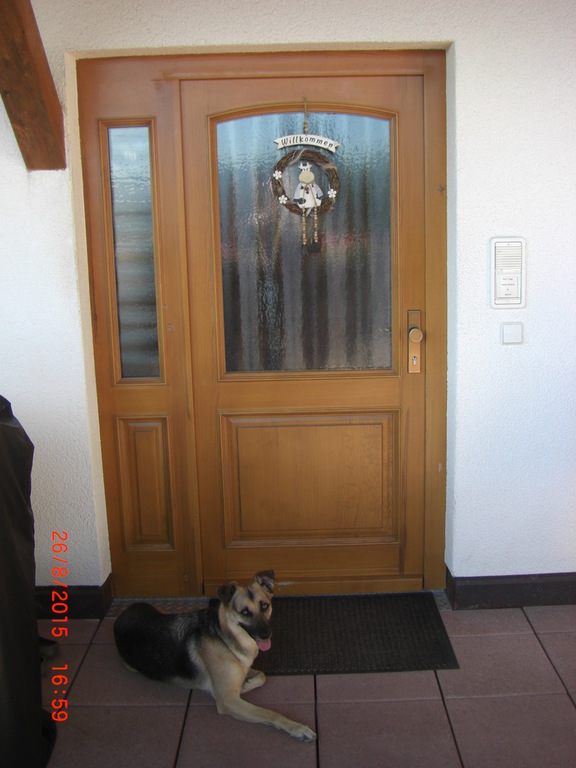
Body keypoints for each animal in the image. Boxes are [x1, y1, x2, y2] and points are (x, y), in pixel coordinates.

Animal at [113, 570, 316, 742]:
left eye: (264, 606)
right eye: (244, 612)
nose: (266, 635)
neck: (224, 635)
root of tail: (122, 615)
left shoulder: (244, 669)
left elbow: (262, 676)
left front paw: (246, 684)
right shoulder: (228, 701)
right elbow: (270, 713)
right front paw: (297, 728)